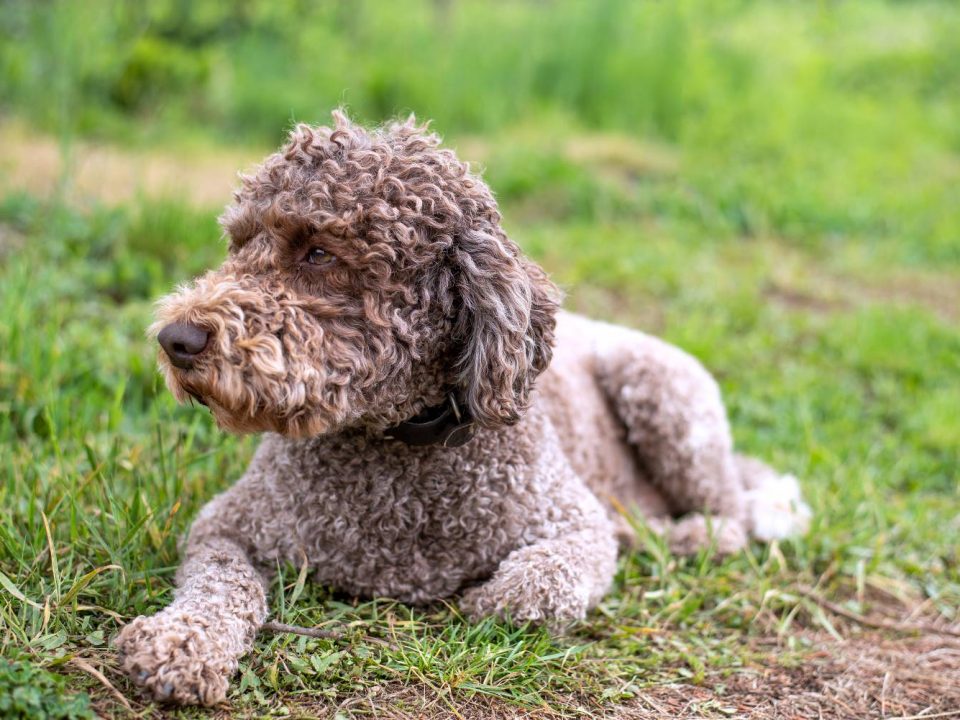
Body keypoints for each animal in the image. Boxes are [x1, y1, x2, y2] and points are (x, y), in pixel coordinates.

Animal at [116, 109, 812, 704]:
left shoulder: (575, 526)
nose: (175, 338)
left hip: (664, 394)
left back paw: (682, 534)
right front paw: (181, 645)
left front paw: (483, 599)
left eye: (318, 251)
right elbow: (218, 586)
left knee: (731, 516)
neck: (397, 443)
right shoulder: (227, 525)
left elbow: (534, 588)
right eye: (238, 244)